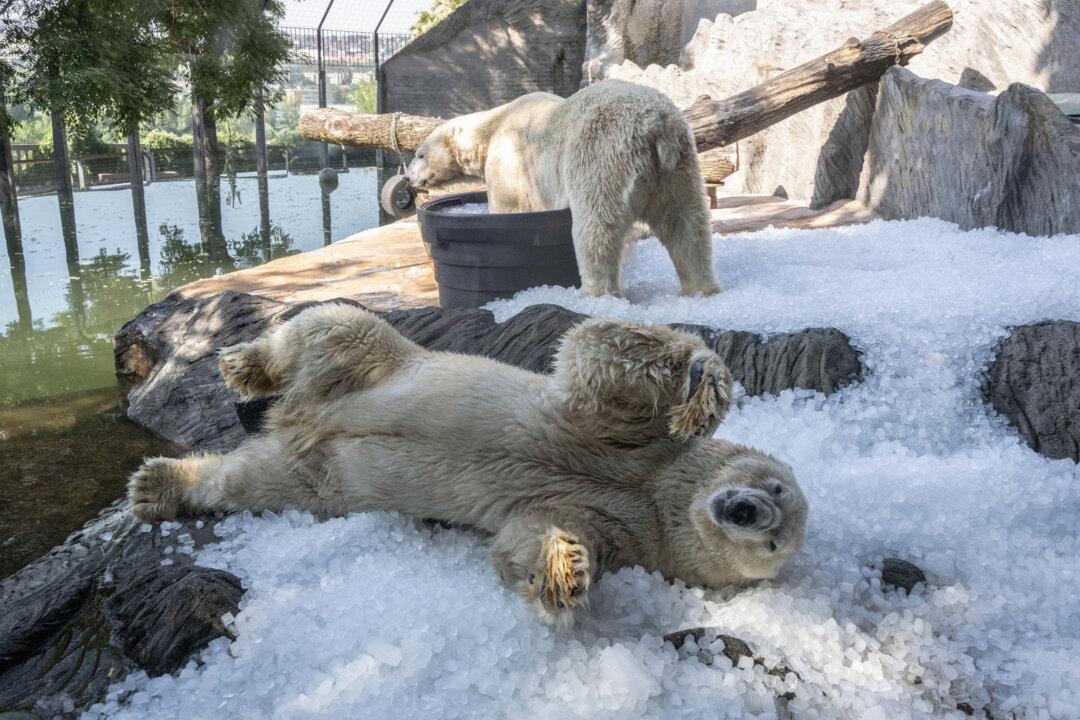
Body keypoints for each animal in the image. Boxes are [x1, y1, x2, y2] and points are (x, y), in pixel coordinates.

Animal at [128, 304, 807, 626]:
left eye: (775, 544)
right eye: (774, 485)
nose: (748, 511)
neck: (655, 491)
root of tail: (297, 419)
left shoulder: (628, 529)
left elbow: (525, 539)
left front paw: (566, 570)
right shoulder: (626, 440)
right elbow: (597, 359)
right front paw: (703, 385)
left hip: (320, 479)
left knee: (252, 482)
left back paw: (159, 485)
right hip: (374, 364)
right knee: (331, 327)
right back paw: (242, 365)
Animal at [405, 80, 723, 299]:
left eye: (419, 154)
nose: (408, 178)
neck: (496, 122)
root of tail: (655, 126)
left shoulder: (510, 159)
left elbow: (509, 207)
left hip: (602, 153)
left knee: (598, 225)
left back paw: (595, 292)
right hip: (677, 164)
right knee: (685, 221)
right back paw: (700, 288)